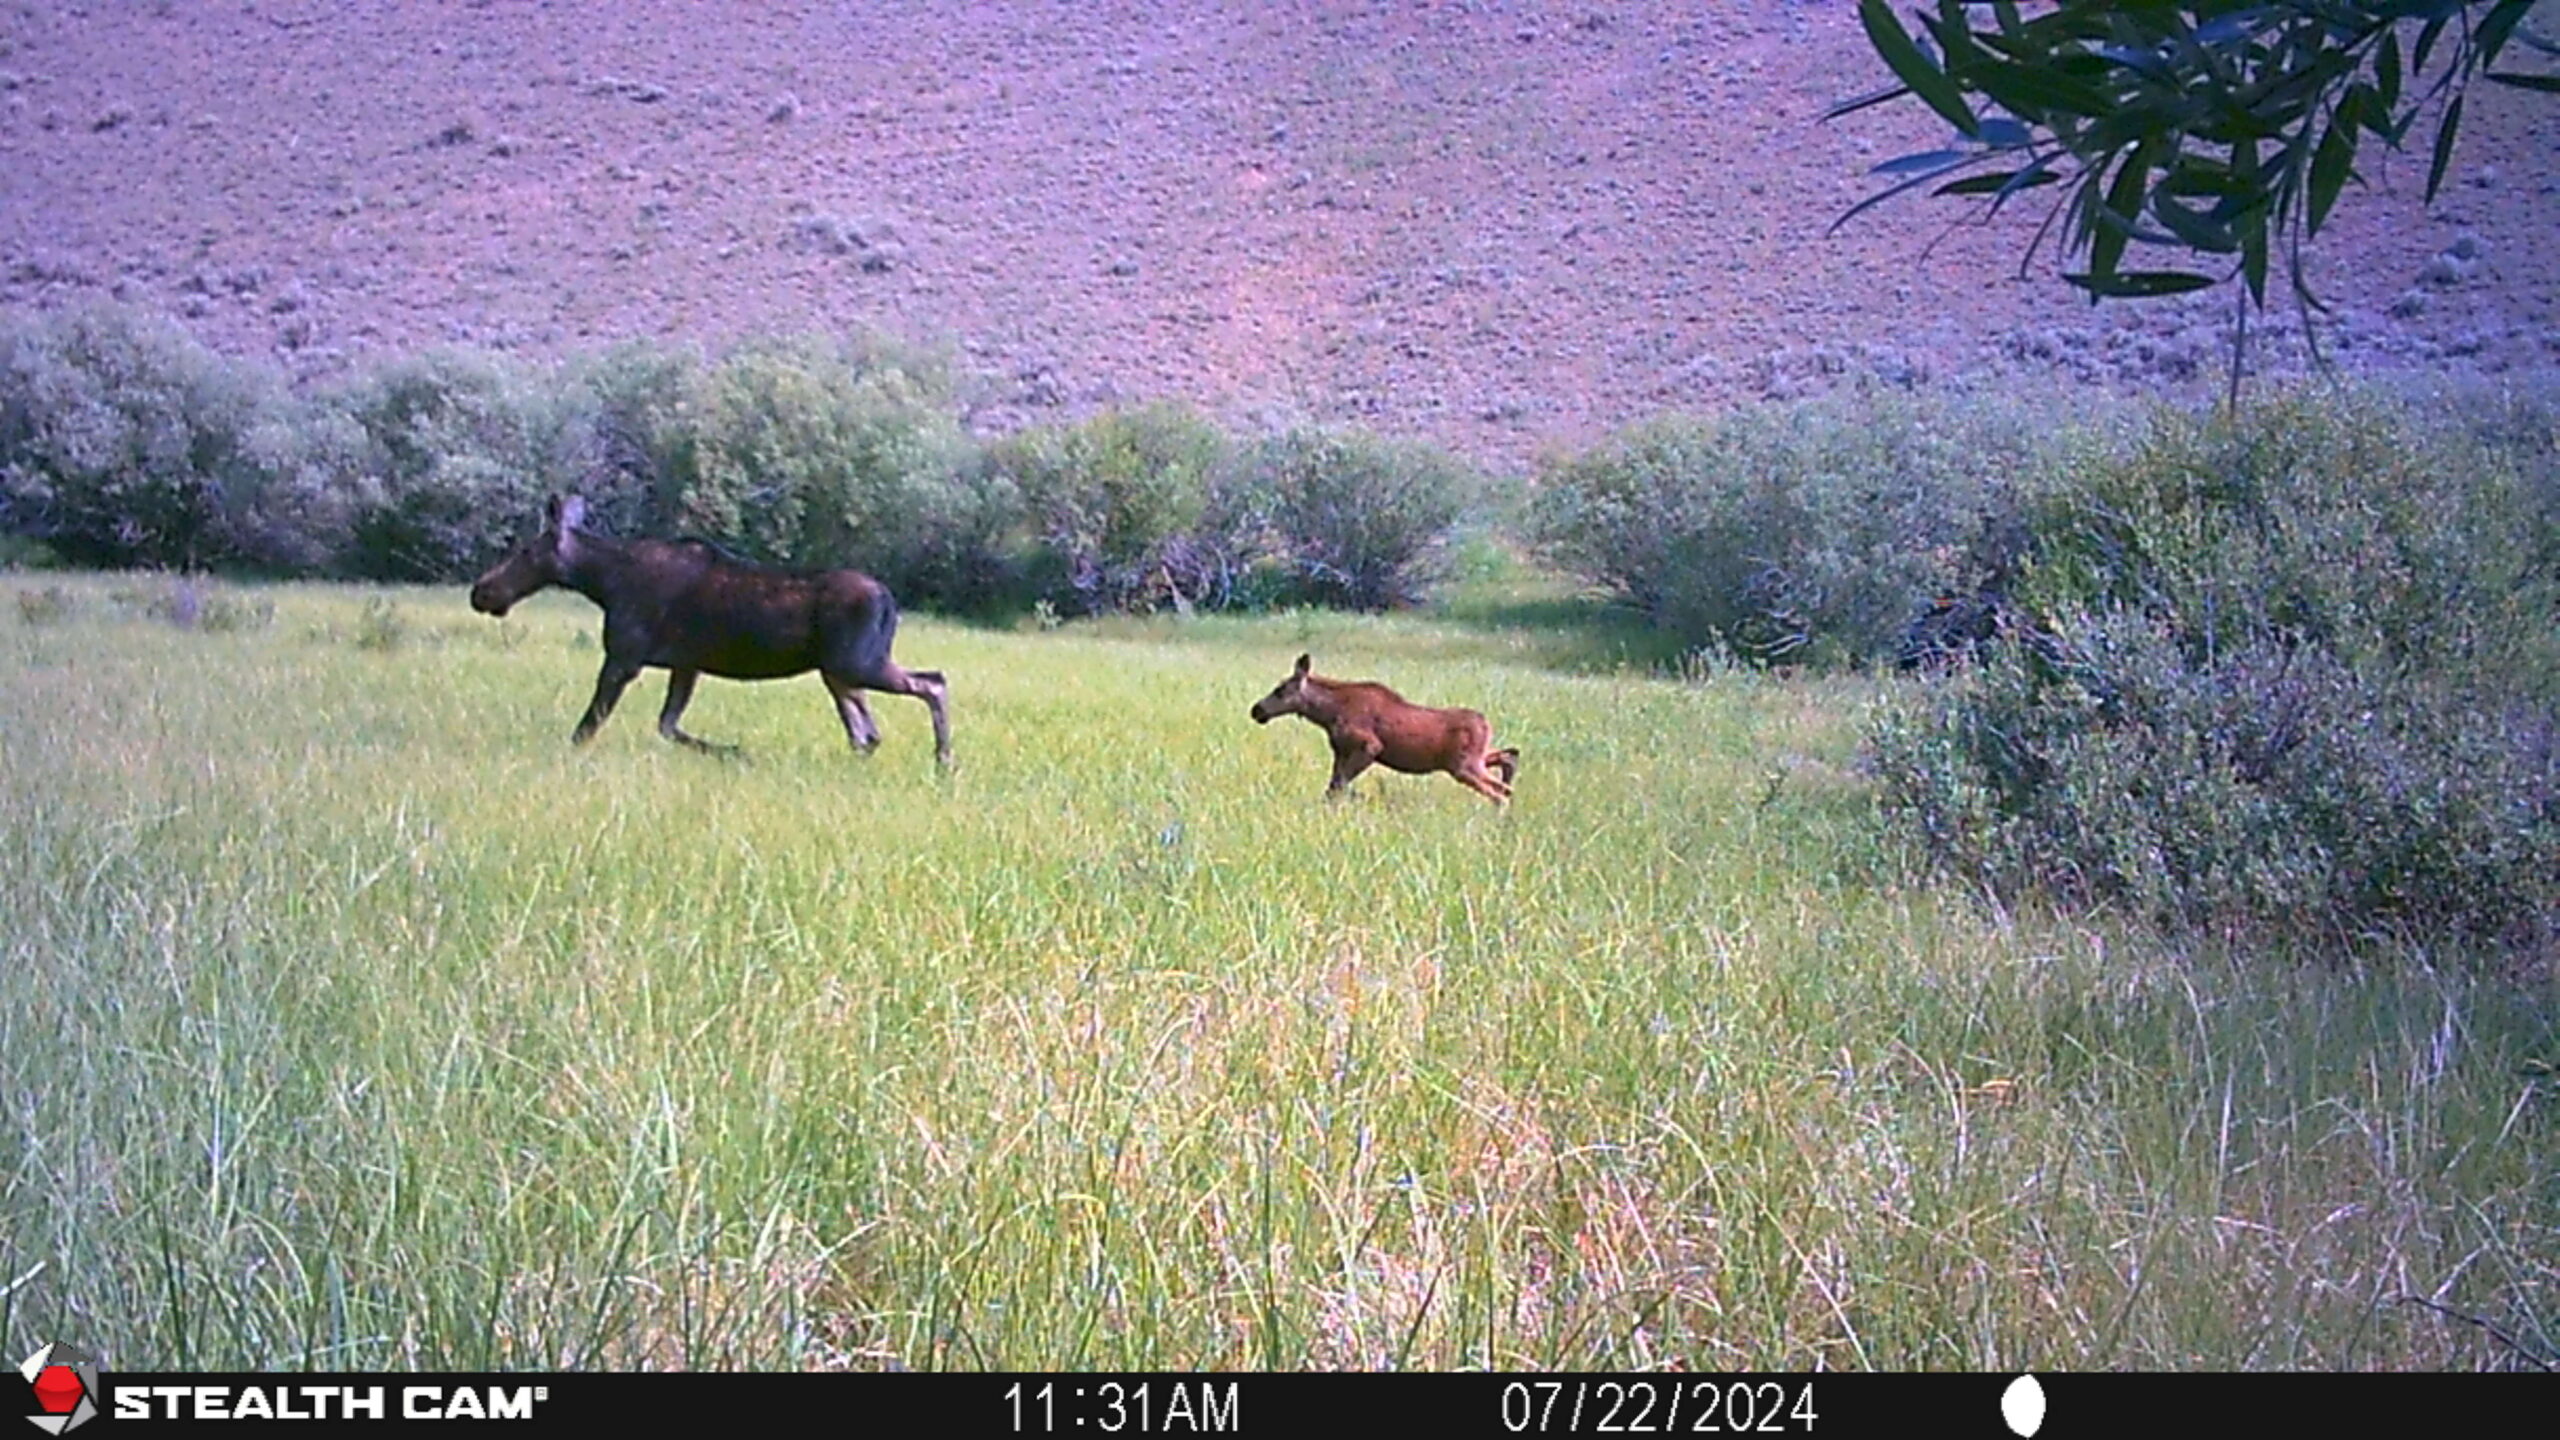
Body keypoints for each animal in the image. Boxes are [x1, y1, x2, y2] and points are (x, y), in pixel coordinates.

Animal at [468, 495, 951, 767]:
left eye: (526, 550)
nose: (482, 591)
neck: (603, 583)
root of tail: (889, 600)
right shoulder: (687, 664)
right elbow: (668, 725)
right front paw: (734, 751)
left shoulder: (624, 656)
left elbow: (588, 725)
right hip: (838, 672)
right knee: (867, 734)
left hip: (857, 662)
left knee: (934, 682)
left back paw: (945, 760)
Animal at [1249, 653, 1519, 805]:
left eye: (1280, 690)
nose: (1256, 710)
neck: (1327, 714)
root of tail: (1486, 723)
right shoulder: (1340, 751)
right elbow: (1333, 786)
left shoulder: (1369, 747)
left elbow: (1337, 787)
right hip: (1474, 758)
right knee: (1510, 757)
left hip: (1463, 766)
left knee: (1500, 792)